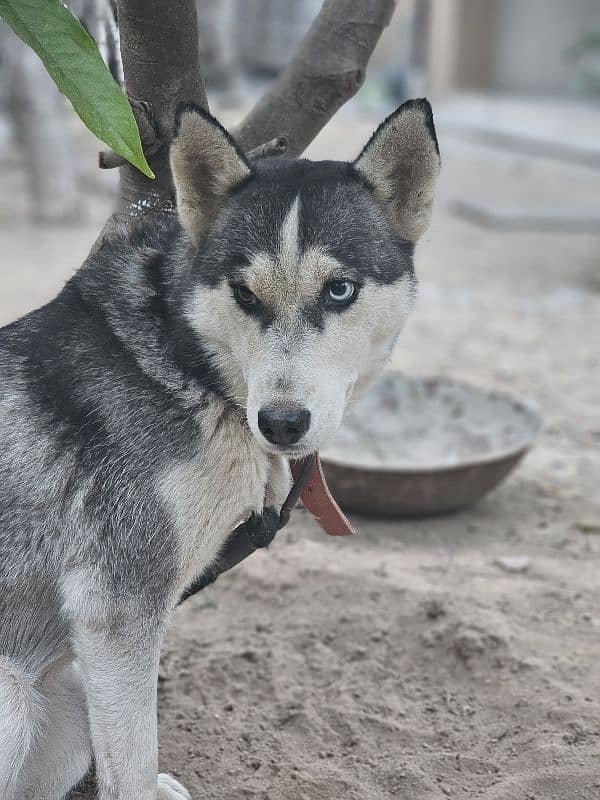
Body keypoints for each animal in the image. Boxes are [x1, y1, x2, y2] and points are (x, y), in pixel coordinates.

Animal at [1, 101, 440, 800]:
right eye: (245, 294)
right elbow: (132, 764)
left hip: (63, 705)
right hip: (17, 695)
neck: (187, 367)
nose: (282, 422)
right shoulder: (117, 610)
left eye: (339, 290)